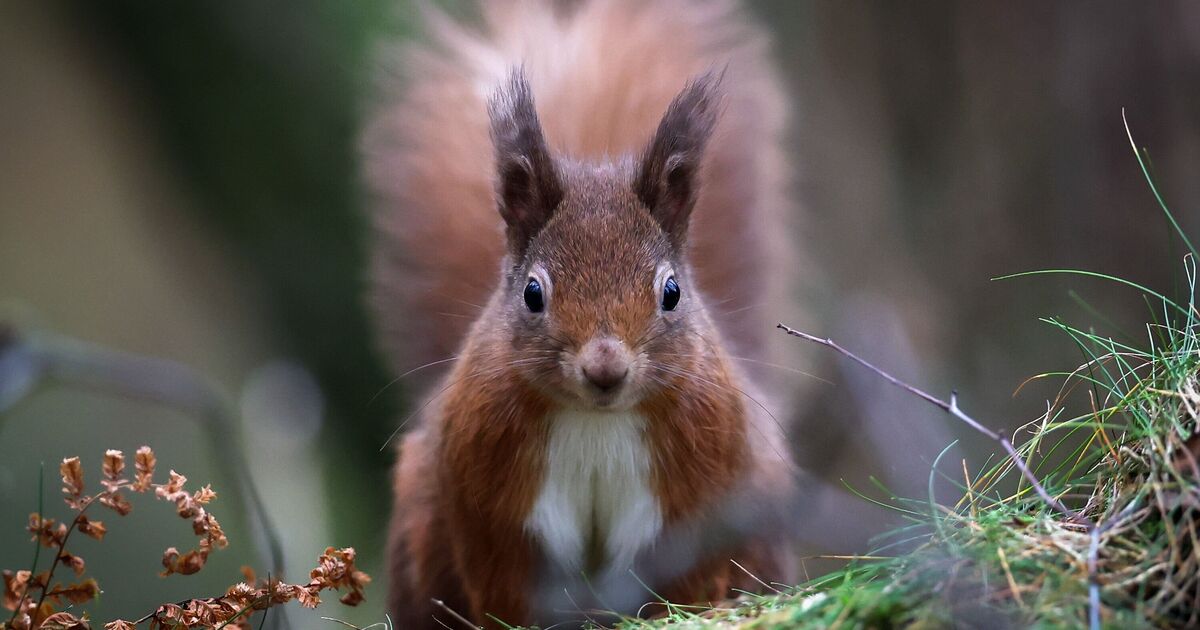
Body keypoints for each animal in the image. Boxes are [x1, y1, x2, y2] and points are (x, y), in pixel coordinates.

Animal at [363, 1, 806, 627]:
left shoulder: (695, 493)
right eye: (532, 293)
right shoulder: (493, 505)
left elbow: (684, 580)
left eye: (671, 292)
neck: (596, 424)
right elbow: (505, 587)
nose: (604, 369)